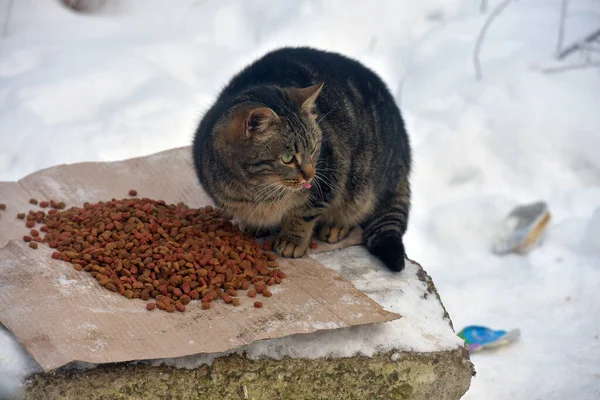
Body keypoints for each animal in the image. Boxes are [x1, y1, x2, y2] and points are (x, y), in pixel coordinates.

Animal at [193, 47, 412, 272]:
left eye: (314, 149)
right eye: (288, 158)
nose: (310, 174)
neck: (257, 190)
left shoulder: (328, 179)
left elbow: (303, 215)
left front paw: (292, 240)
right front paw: (255, 226)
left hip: (363, 183)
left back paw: (336, 225)